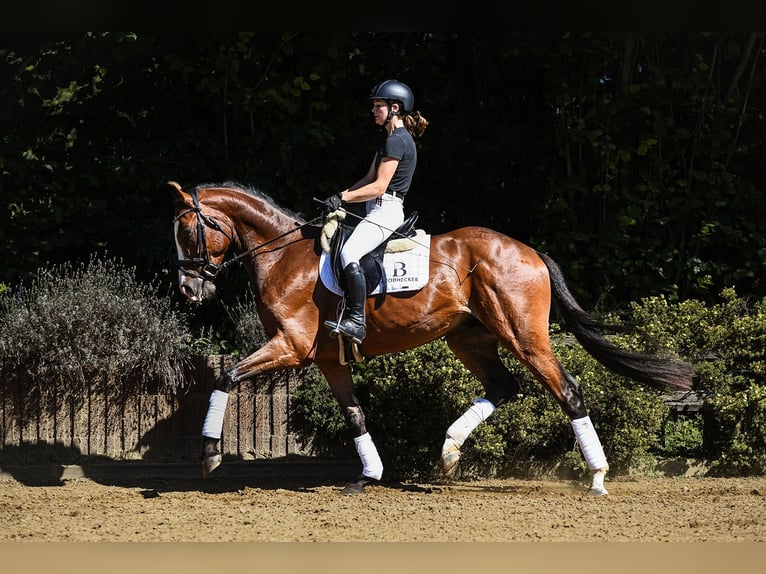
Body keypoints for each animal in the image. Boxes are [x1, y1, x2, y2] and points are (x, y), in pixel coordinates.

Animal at [168, 181, 696, 500]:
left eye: (188, 231)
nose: (189, 291)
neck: (283, 256)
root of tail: (530, 251)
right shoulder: (327, 359)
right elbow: (355, 414)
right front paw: (368, 477)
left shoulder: (291, 347)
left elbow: (226, 375)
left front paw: (210, 455)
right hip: (470, 339)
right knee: (503, 387)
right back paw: (448, 451)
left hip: (522, 335)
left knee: (566, 389)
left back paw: (597, 478)